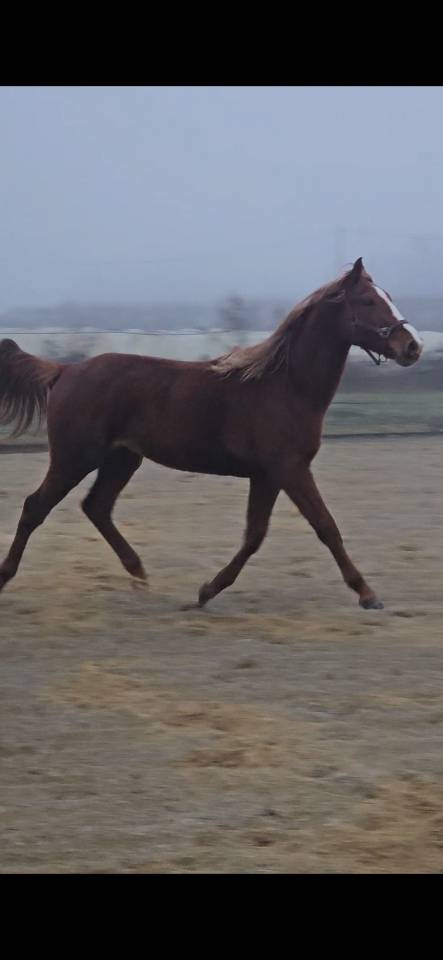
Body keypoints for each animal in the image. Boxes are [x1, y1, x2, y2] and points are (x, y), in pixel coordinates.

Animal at [0, 257, 423, 610]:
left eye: (387, 297)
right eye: (368, 300)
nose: (413, 346)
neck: (285, 387)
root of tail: (64, 371)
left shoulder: (268, 475)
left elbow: (255, 535)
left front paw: (206, 591)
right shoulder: (290, 469)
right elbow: (325, 526)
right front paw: (367, 594)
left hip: (122, 458)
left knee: (97, 506)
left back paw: (139, 573)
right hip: (75, 458)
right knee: (36, 507)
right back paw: (6, 576)